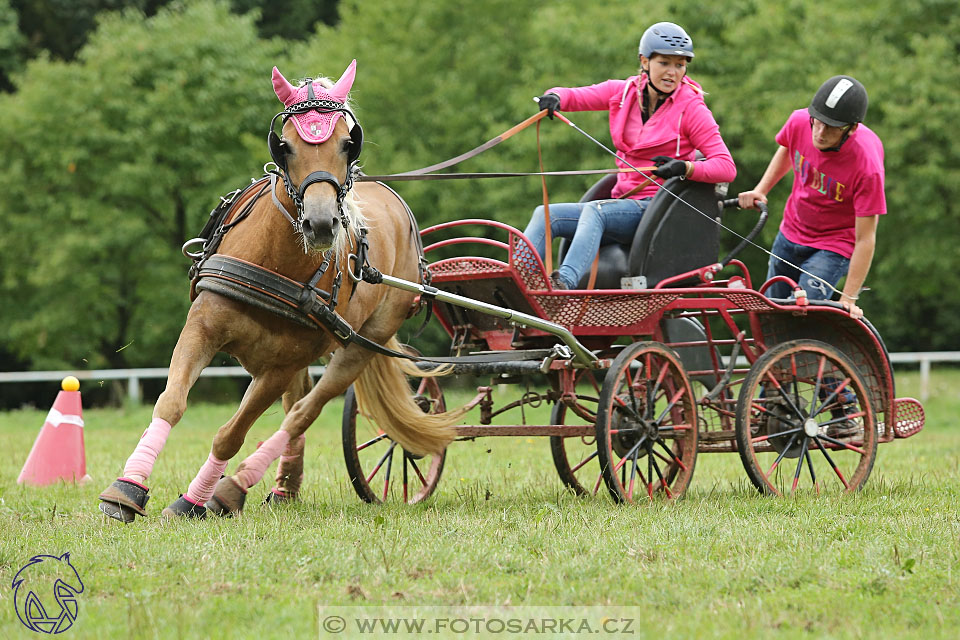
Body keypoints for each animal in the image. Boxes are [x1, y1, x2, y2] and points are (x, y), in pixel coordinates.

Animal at [98, 58, 458, 520]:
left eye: (348, 143)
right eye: (283, 146)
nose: (320, 224)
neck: (275, 262)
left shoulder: (280, 366)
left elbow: (232, 433)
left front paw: (194, 499)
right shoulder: (202, 327)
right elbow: (171, 402)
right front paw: (127, 488)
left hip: (359, 346)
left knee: (303, 412)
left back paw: (234, 487)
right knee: (295, 407)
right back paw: (284, 487)